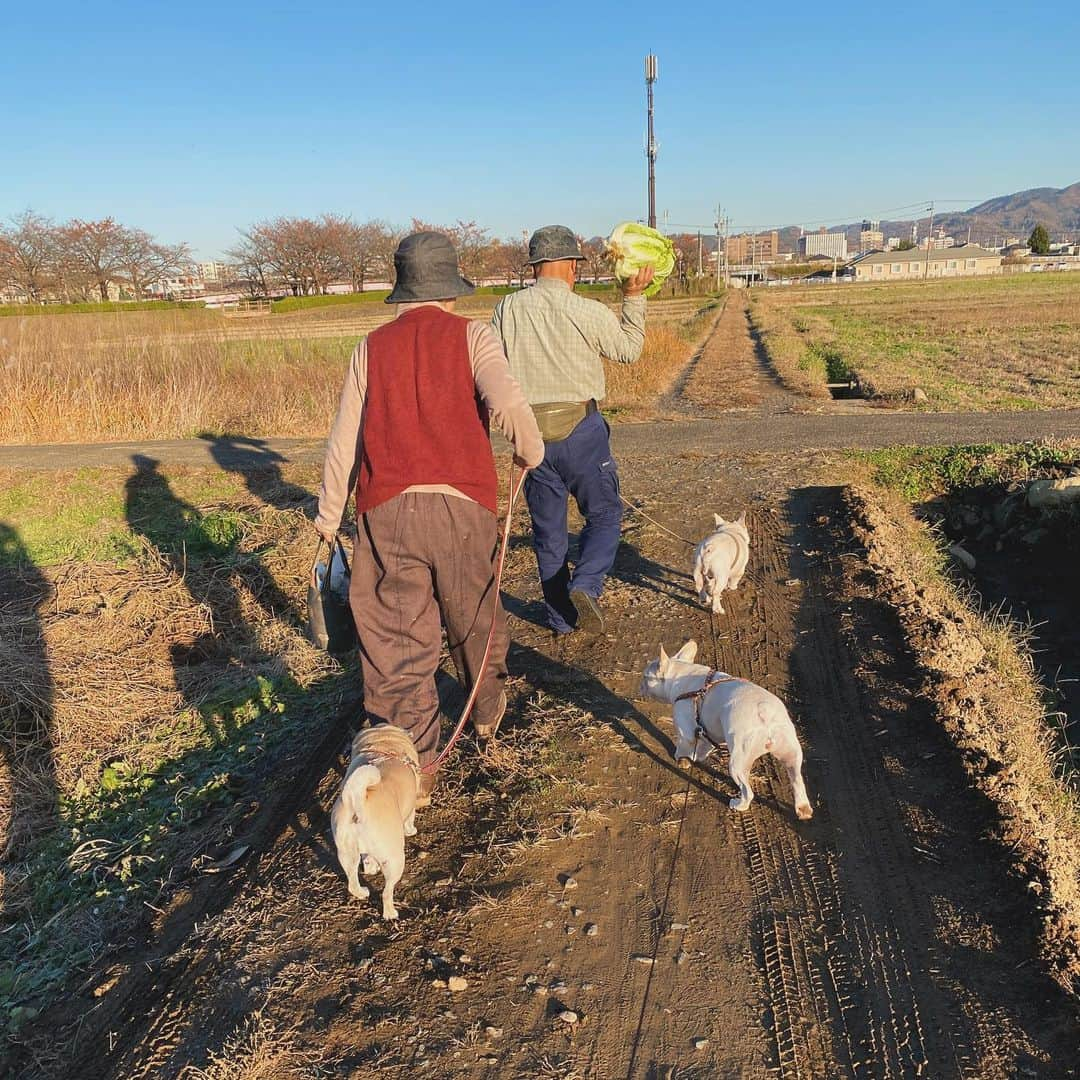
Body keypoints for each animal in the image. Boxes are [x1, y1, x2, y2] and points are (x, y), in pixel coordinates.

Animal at [332, 725, 421, 920]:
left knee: (352, 882)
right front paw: (412, 830)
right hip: (394, 860)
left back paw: (363, 891)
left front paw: (371, 867)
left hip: (346, 854)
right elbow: (410, 820)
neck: (383, 743)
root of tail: (359, 800)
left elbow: (368, 859)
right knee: (386, 892)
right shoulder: (411, 808)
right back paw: (390, 913)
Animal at [639, 639, 812, 816]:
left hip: (737, 763)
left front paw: (681, 758)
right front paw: (695, 757)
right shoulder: (709, 731)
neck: (679, 674)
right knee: (797, 781)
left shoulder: (685, 731)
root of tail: (764, 713)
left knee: (748, 792)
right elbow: (703, 747)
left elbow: (683, 746)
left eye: (645, 677)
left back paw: (738, 804)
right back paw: (803, 808)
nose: (640, 685)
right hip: (792, 753)